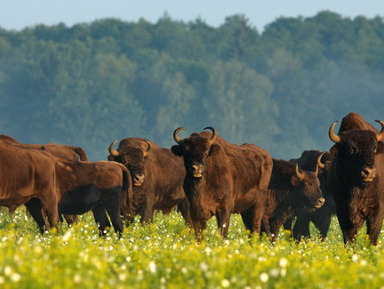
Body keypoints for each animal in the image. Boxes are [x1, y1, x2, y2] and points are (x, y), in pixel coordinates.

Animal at [326, 113, 384, 244]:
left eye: (374, 148)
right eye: (351, 148)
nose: (369, 172)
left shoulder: (377, 210)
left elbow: (372, 237)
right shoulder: (342, 210)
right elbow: (349, 238)